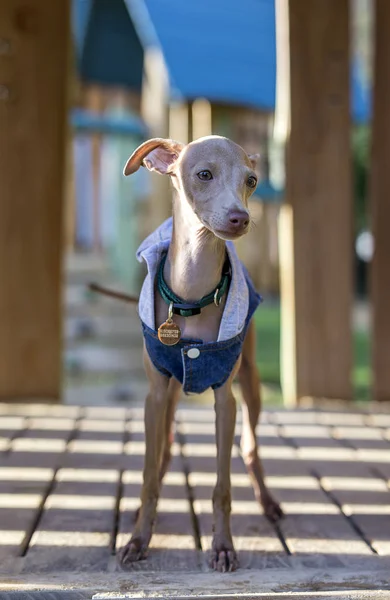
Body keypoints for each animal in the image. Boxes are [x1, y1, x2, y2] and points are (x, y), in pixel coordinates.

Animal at [120, 136, 282, 572]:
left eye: (252, 180)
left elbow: (222, 486)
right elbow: (147, 475)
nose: (240, 218)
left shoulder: (225, 400)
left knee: (251, 448)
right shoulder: (155, 392)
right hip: (171, 394)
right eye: (204, 174)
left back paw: (268, 502)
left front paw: (223, 546)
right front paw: (139, 538)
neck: (191, 295)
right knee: (164, 447)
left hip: (252, 382)